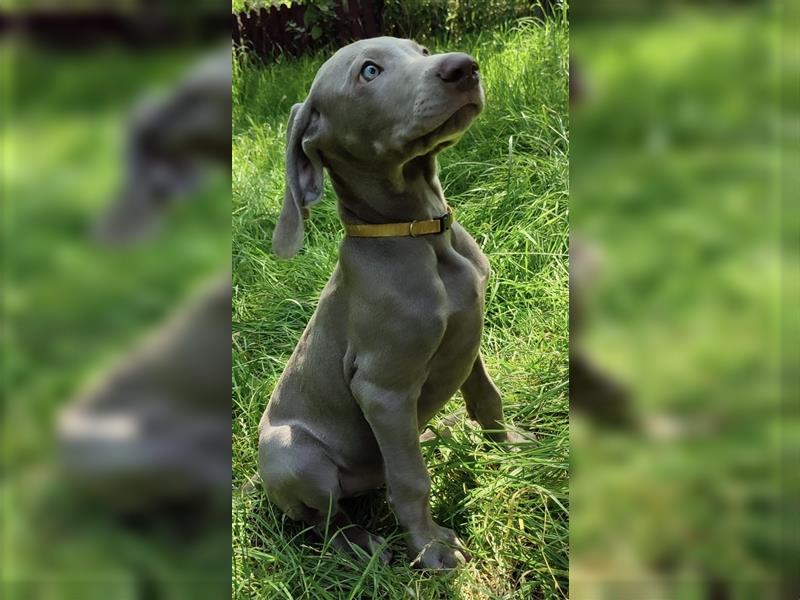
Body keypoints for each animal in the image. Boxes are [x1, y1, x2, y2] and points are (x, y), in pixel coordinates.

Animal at [258, 35, 524, 568]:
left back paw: (435, 434)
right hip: (293, 456)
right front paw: (432, 548)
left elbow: (487, 399)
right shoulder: (383, 389)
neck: (421, 234)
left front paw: (509, 450)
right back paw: (362, 544)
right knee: (325, 520)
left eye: (418, 50)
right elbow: (411, 480)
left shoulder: (469, 333)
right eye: (369, 72)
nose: (464, 68)